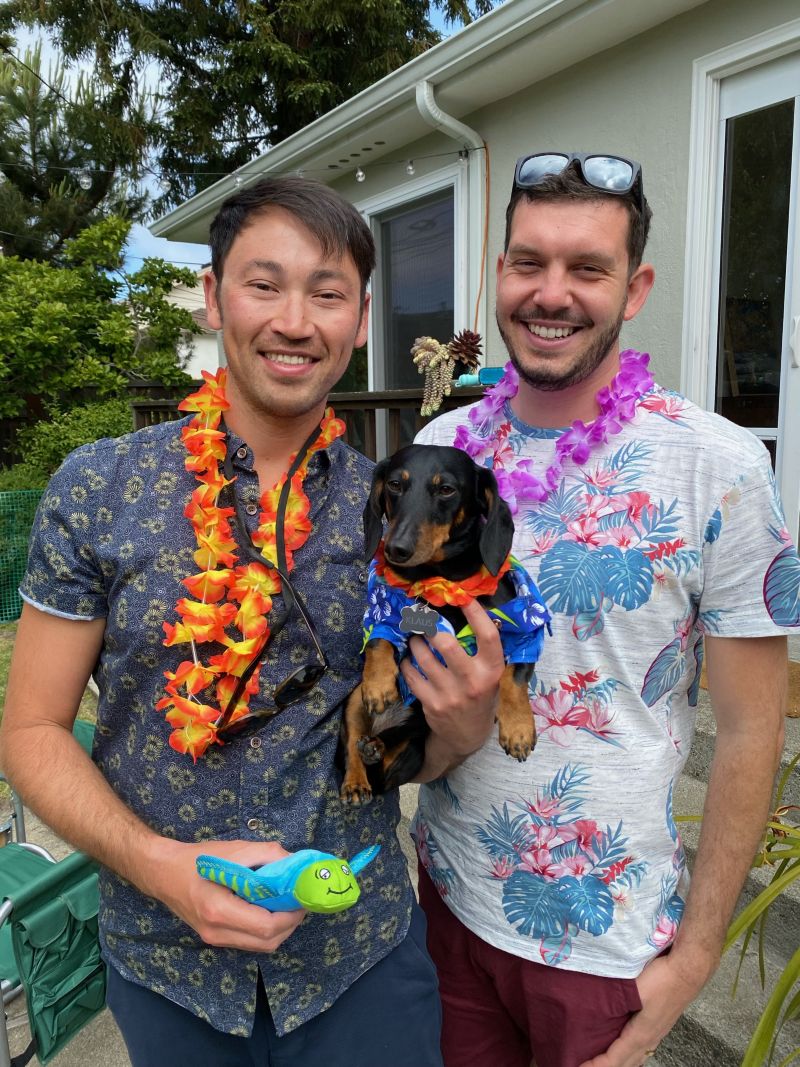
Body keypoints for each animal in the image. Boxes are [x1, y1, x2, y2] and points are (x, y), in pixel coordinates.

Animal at [340, 444, 549, 806]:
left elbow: (515, 676)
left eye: (446, 489)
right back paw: (356, 778)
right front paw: (379, 684)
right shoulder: (383, 609)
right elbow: (379, 640)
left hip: (416, 746)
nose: (395, 549)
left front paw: (519, 728)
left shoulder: (524, 624)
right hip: (354, 702)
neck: (438, 578)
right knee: (354, 741)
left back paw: (376, 749)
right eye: (394, 484)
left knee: (389, 765)